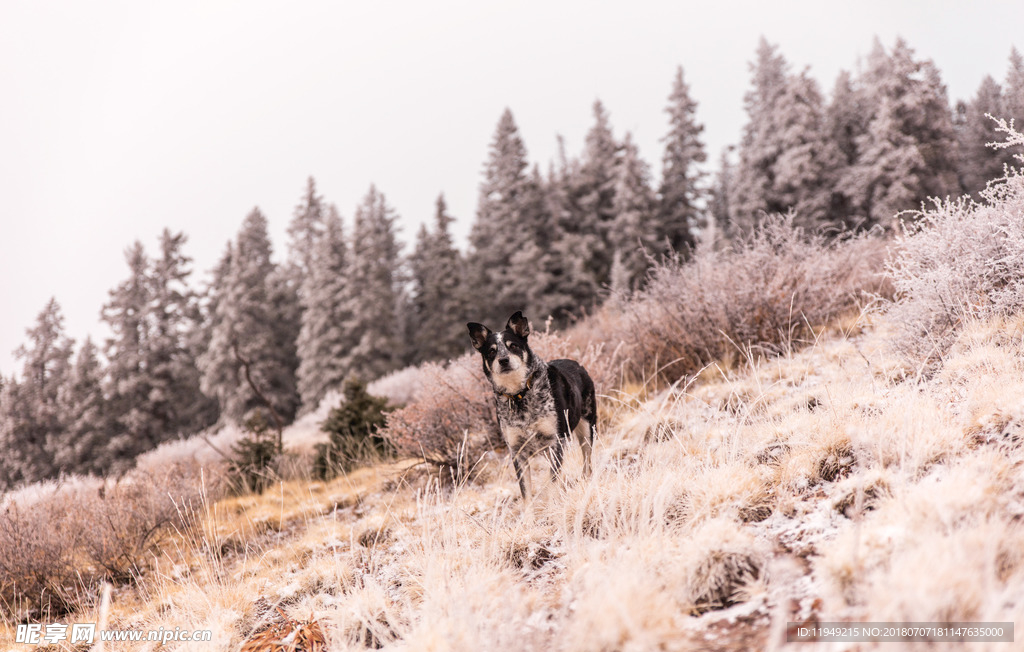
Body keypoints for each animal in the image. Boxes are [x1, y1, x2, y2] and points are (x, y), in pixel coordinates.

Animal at [468, 311, 598, 497]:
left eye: (513, 346)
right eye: (492, 351)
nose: (503, 360)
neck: (519, 395)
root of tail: (577, 364)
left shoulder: (555, 442)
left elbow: (553, 483)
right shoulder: (517, 451)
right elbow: (525, 493)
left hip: (587, 428)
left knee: (587, 460)